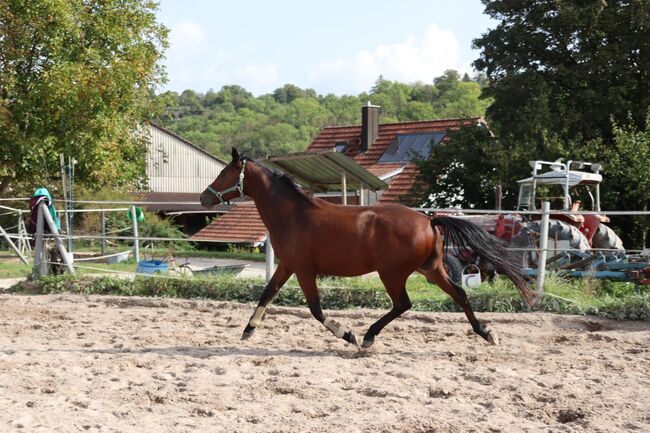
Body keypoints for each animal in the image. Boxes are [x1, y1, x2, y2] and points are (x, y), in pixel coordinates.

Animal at [200, 148, 536, 348]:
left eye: (225, 173)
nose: (204, 197)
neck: (293, 215)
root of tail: (428, 220)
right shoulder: (287, 265)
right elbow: (267, 294)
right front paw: (248, 329)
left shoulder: (305, 271)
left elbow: (315, 309)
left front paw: (347, 334)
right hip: (430, 269)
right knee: (459, 294)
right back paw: (486, 333)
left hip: (393, 273)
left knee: (404, 303)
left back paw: (368, 336)